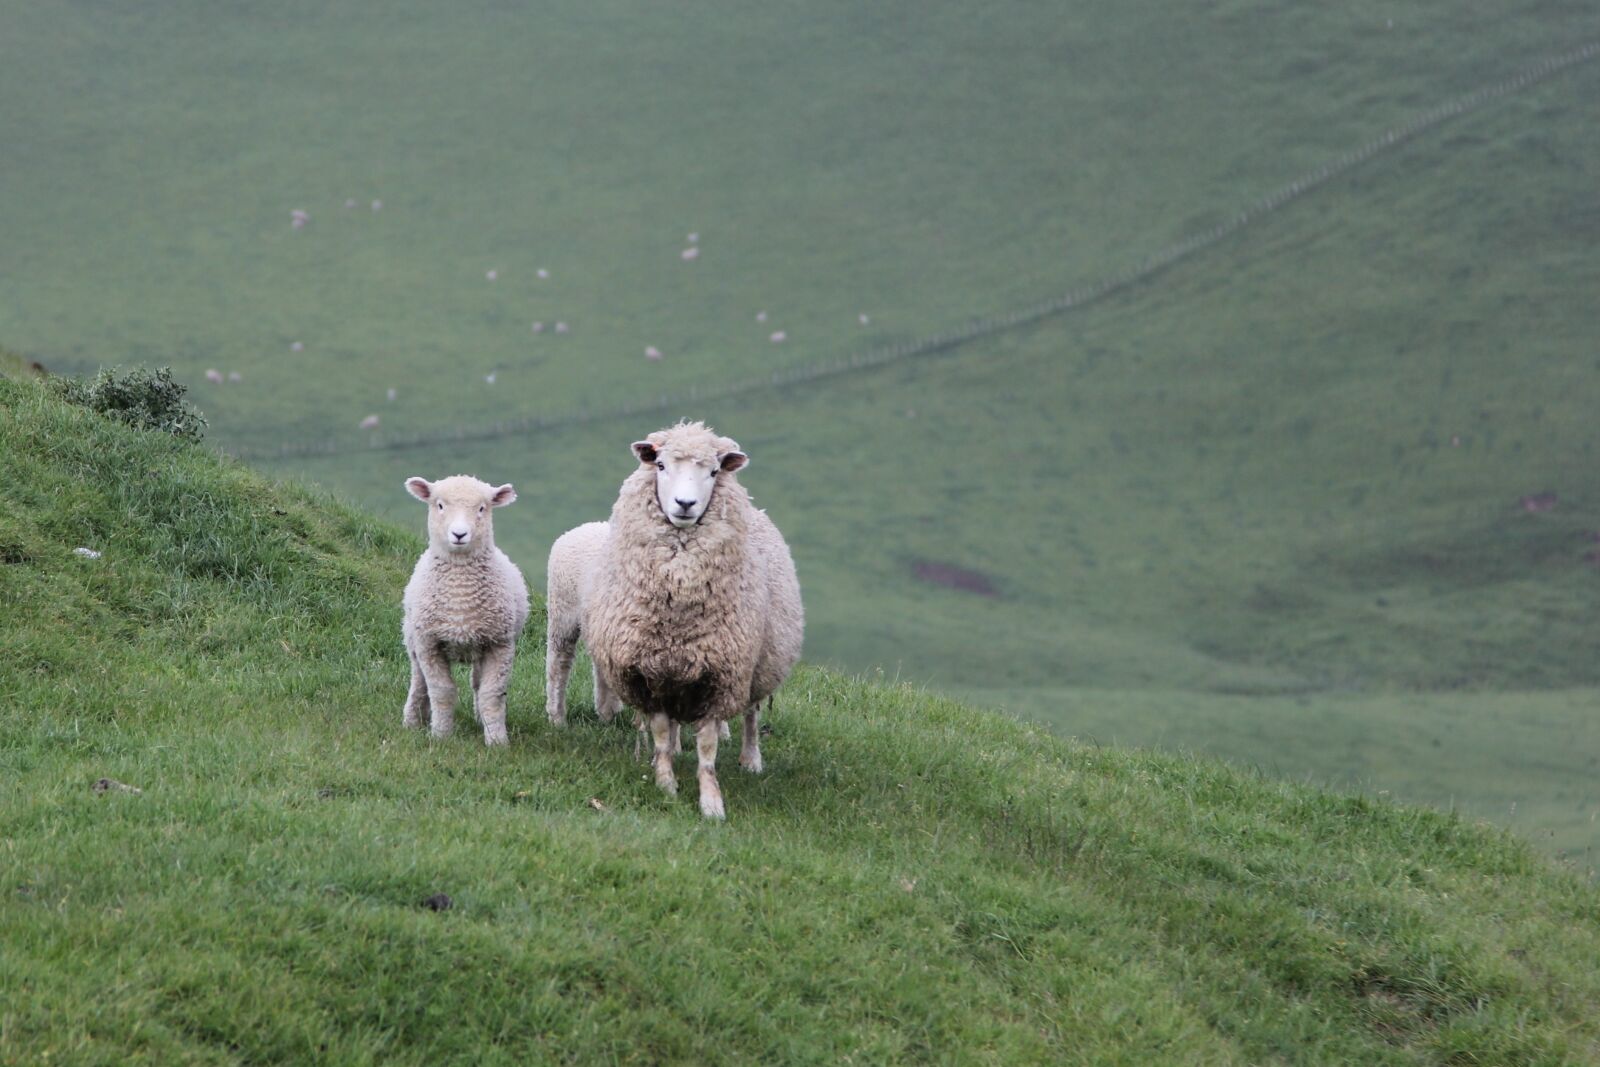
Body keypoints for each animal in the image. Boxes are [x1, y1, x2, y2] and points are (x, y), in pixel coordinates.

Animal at [401, 475, 530, 746]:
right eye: (439, 505)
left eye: (482, 508)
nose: (459, 534)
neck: (460, 592)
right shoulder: (429, 643)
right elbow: (441, 691)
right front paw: (440, 735)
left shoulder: (499, 644)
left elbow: (492, 694)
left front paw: (497, 741)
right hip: (412, 639)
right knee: (418, 681)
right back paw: (412, 721)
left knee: (477, 684)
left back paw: (480, 719)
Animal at [581, 420, 803, 819]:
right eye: (661, 465)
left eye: (713, 472)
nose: (685, 504)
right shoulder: (650, 672)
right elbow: (658, 732)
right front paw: (665, 782)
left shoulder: (720, 674)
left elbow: (709, 748)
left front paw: (711, 802)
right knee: (675, 724)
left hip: (756, 665)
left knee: (751, 714)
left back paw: (751, 759)